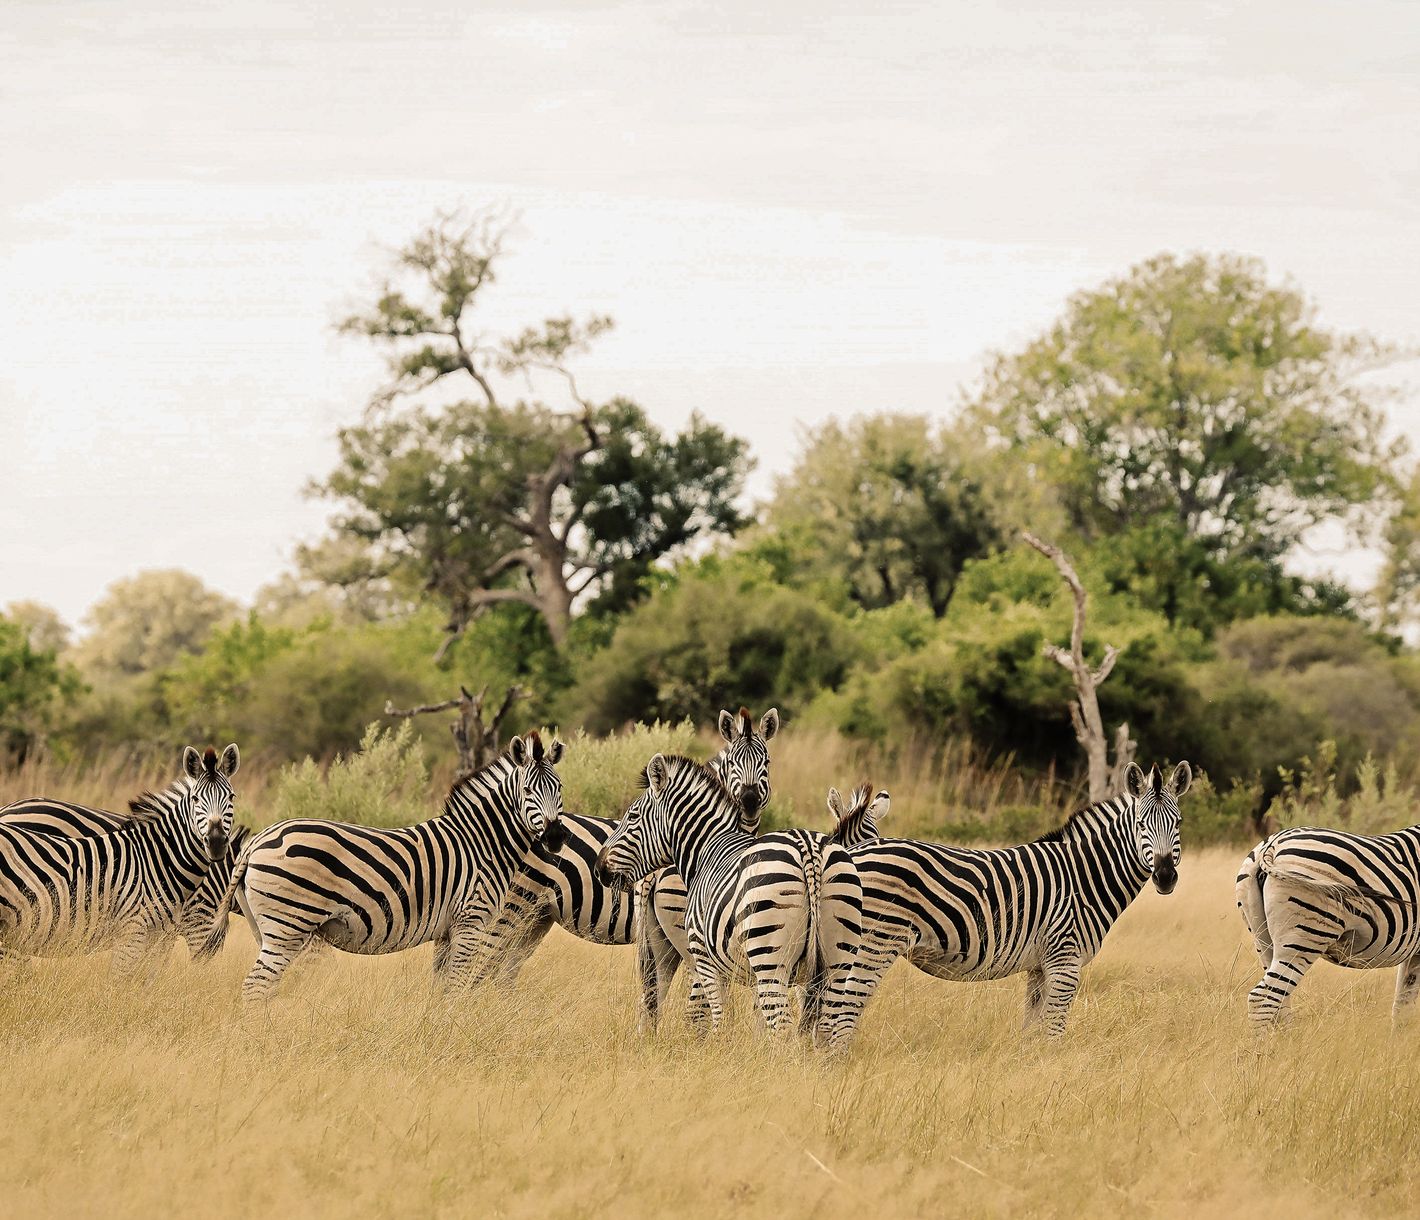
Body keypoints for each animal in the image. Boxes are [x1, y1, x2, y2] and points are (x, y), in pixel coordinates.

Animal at [199, 732, 569, 1000]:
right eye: (527, 790)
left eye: (559, 788)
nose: (555, 837)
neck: (482, 842)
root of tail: (256, 842)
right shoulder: (471, 920)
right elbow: (456, 986)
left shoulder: (448, 929)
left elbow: (440, 986)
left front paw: (437, 1026)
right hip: (289, 924)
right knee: (256, 985)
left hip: (266, 927)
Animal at [596, 752, 863, 1048]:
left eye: (632, 816)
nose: (599, 867)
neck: (706, 849)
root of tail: (809, 848)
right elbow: (758, 1019)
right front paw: (756, 1052)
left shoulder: (704, 954)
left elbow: (718, 1016)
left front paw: (719, 1049)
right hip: (838, 957)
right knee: (828, 1029)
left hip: (770, 958)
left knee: (781, 1026)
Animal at [840, 761, 1192, 1036]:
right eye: (1141, 824)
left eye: (1178, 823)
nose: (1165, 876)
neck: (1084, 876)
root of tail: (852, 851)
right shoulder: (1065, 960)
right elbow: (1053, 1031)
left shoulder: (1040, 966)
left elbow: (1032, 1029)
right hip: (875, 941)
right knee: (843, 1006)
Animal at [1235, 824, 1420, 1025]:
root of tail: (1272, 844)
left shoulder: (1414, 954)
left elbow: (1403, 1008)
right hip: (1303, 936)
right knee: (1262, 998)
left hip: (1262, 939)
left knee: (1280, 1000)